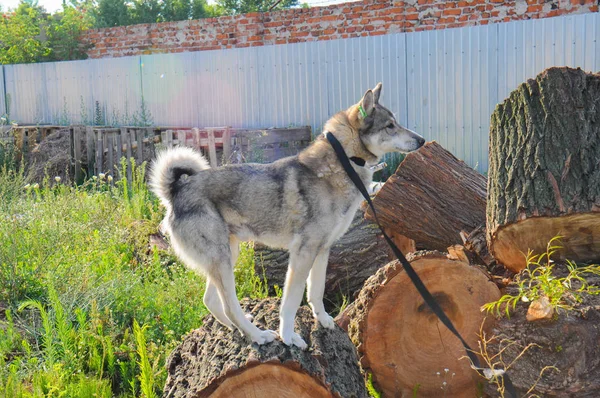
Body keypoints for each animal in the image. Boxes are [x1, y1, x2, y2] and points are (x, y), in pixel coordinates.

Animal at [150, 84, 424, 348]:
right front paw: (289, 336)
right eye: (390, 126)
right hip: (222, 260)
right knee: (228, 305)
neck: (343, 160)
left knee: (211, 301)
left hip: (227, 254)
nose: (421, 140)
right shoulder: (303, 252)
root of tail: (177, 190)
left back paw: (240, 329)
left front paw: (324, 320)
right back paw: (258, 335)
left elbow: (316, 291)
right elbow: (291, 301)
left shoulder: (322, 249)